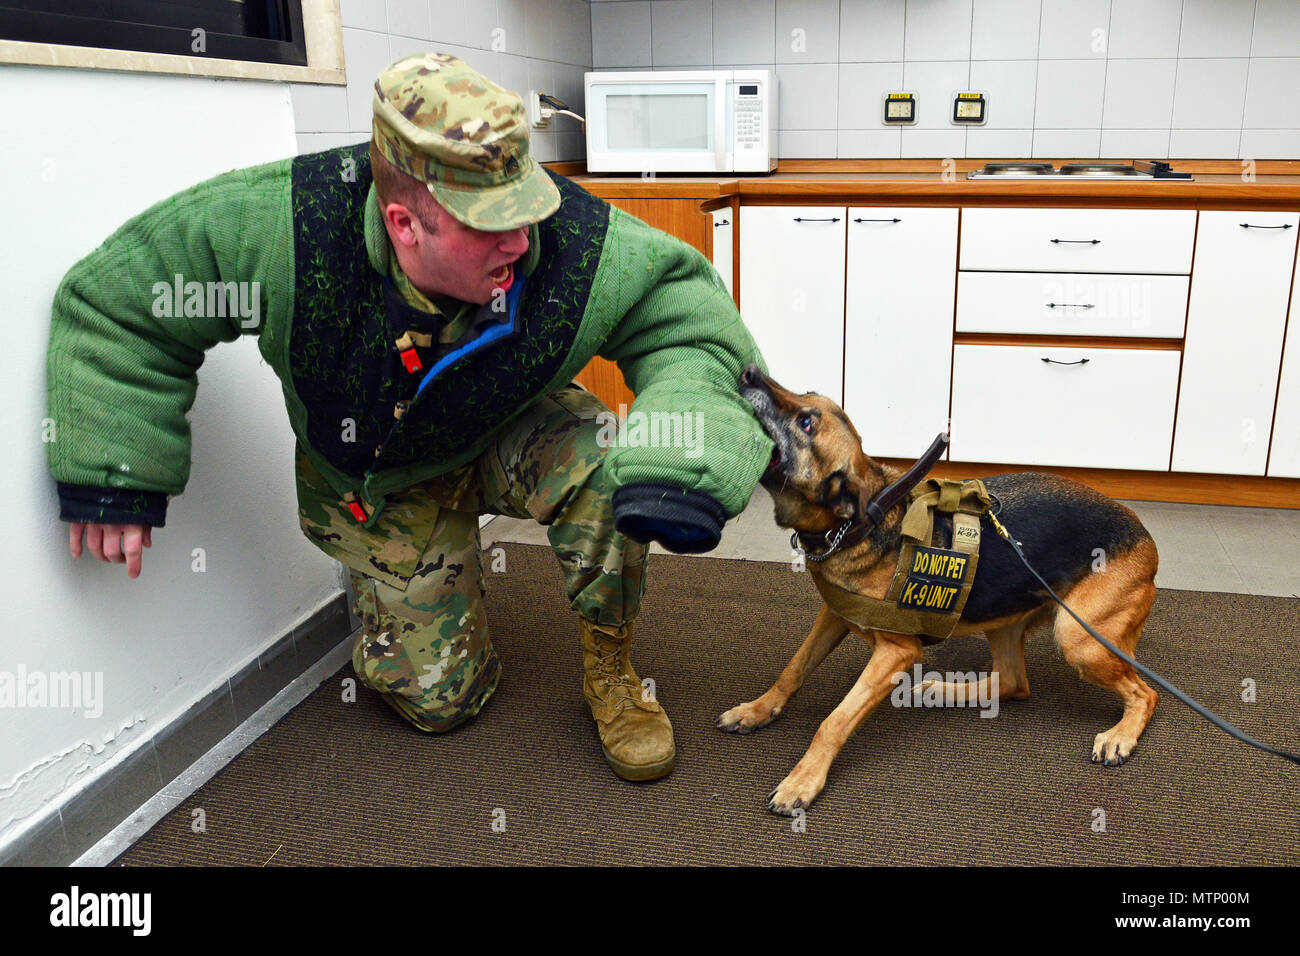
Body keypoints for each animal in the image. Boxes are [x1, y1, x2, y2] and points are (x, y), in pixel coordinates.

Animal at [728, 364, 1164, 816]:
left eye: (806, 423)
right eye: (806, 393)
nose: (749, 371)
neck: (858, 523)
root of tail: (1145, 537)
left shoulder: (896, 653)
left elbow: (834, 720)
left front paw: (803, 779)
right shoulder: (833, 616)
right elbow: (793, 669)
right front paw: (757, 710)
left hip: (1079, 638)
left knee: (1146, 693)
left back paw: (1121, 735)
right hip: (1003, 619)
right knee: (1013, 683)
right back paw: (942, 690)